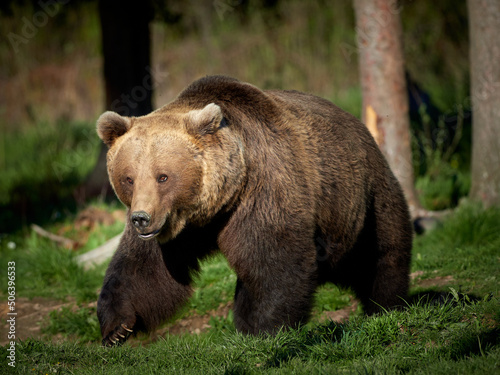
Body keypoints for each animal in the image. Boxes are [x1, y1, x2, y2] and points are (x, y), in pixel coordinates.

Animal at [95, 75, 412, 346]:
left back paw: (386, 306)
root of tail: (355, 121)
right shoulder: (176, 227)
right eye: (129, 178)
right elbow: (143, 269)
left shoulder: (262, 189)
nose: (141, 219)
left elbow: (273, 261)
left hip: (362, 195)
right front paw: (117, 328)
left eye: (163, 176)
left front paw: (262, 328)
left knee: (382, 252)